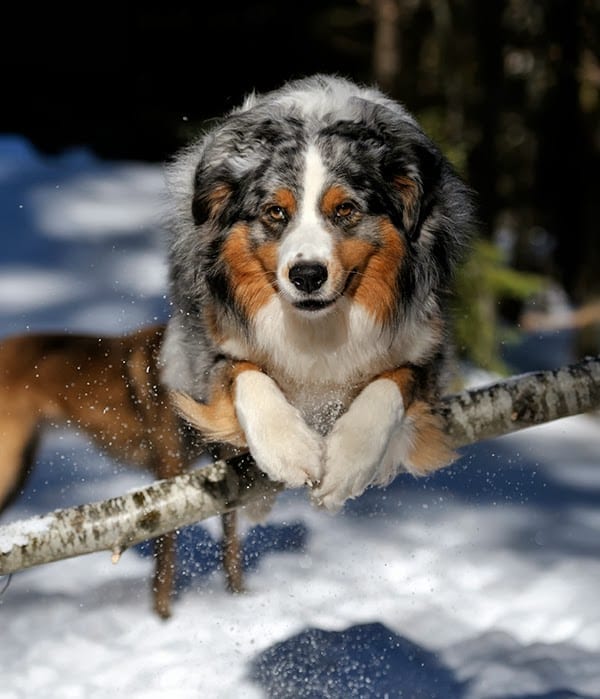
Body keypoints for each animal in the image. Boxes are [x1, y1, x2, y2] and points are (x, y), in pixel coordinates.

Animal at [0, 322, 244, 616]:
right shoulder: (169, 468)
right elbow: (165, 559)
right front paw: (162, 617)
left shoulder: (225, 462)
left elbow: (230, 544)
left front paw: (240, 597)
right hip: (9, 468)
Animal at [161, 75, 478, 516]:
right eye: (275, 212)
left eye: (345, 209)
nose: (307, 275)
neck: (318, 327)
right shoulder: (210, 345)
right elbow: (242, 372)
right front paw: (289, 449)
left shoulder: (427, 347)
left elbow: (394, 381)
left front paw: (348, 462)